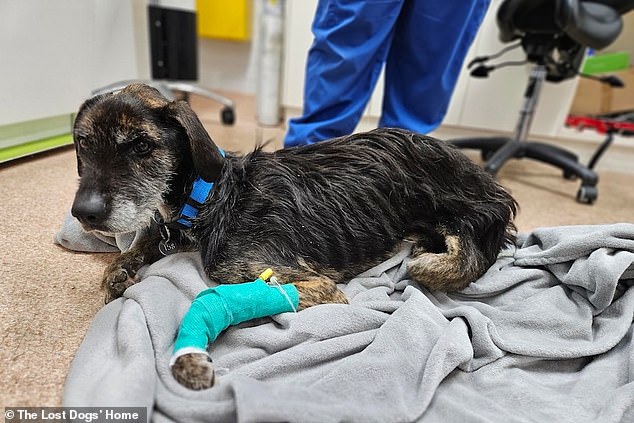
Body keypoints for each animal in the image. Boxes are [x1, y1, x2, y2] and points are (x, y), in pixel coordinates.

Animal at [70, 83, 512, 390]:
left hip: (456, 201)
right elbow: (142, 240)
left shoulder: (309, 282)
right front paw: (117, 271)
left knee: (483, 237)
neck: (207, 195)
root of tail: (474, 169)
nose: (84, 213)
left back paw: (433, 261)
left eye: (142, 145)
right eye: (82, 143)